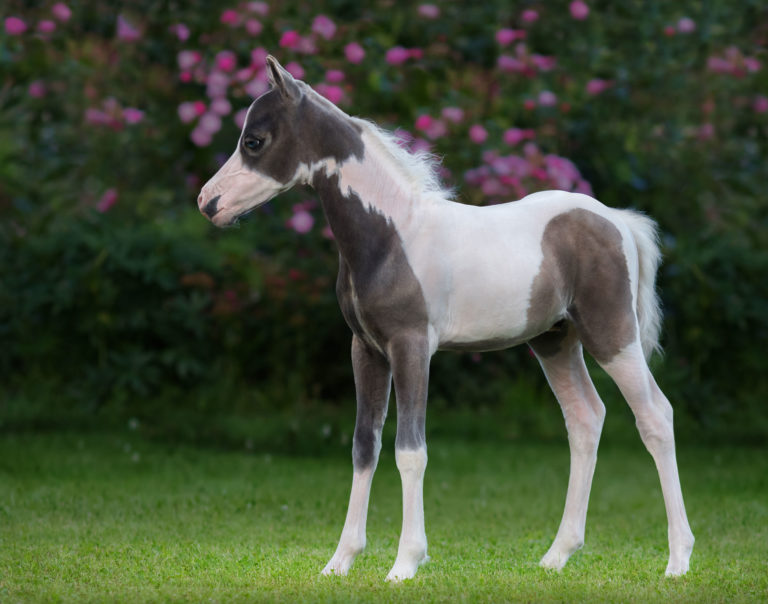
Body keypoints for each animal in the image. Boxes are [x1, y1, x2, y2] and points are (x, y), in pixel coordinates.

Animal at [197, 56, 694, 582]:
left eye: (254, 141)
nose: (208, 202)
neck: (392, 234)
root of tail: (617, 220)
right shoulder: (366, 350)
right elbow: (364, 445)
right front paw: (340, 560)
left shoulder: (412, 346)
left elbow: (410, 450)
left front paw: (405, 563)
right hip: (555, 341)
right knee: (585, 418)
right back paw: (557, 555)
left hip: (612, 335)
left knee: (655, 416)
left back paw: (678, 559)